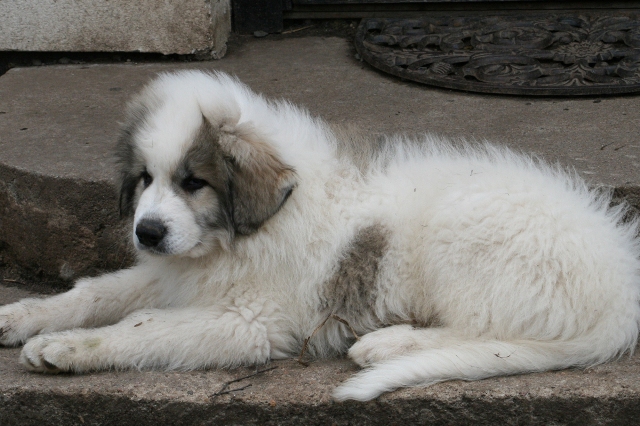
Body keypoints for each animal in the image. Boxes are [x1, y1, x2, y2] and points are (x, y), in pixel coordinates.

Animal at [1, 70, 640, 402]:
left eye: (193, 182)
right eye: (144, 179)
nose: (148, 232)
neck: (242, 235)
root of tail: (620, 293)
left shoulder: (251, 322)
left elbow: (145, 327)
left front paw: (65, 349)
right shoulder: (175, 273)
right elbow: (97, 292)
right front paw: (23, 316)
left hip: (463, 231)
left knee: (491, 335)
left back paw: (387, 344)